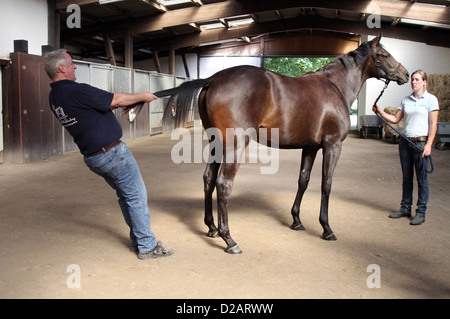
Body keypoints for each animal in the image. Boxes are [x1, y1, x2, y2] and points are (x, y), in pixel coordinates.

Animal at [147, 34, 408, 255]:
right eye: (385, 55)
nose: (405, 75)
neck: (335, 87)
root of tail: (213, 79)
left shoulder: (310, 147)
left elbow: (303, 180)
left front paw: (297, 221)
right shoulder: (332, 145)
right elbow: (326, 184)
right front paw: (326, 228)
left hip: (216, 143)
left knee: (209, 179)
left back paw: (211, 228)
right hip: (234, 145)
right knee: (223, 184)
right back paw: (229, 239)